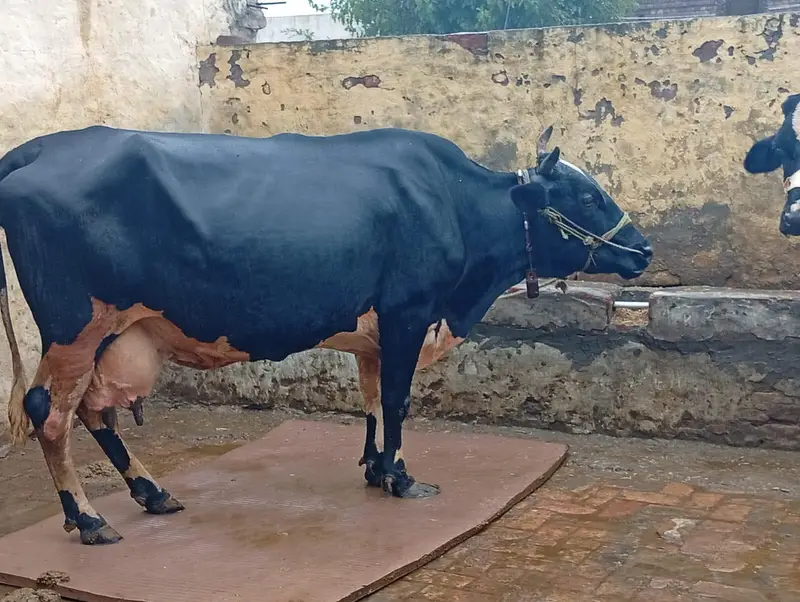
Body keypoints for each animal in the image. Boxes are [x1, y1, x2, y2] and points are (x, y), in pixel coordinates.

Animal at [0, 124, 653, 545]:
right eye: (588, 194)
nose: (643, 250)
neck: (452, 203)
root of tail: (40, 147)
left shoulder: (376, 330)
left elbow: (372, 399)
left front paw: (375, 469)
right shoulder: (409, 310)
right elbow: (398, 399)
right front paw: (402, 478)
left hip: (110, 334)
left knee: (93, 410)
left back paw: (151, 493)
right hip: (74, 327)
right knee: (49, 412)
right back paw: (88, 519)